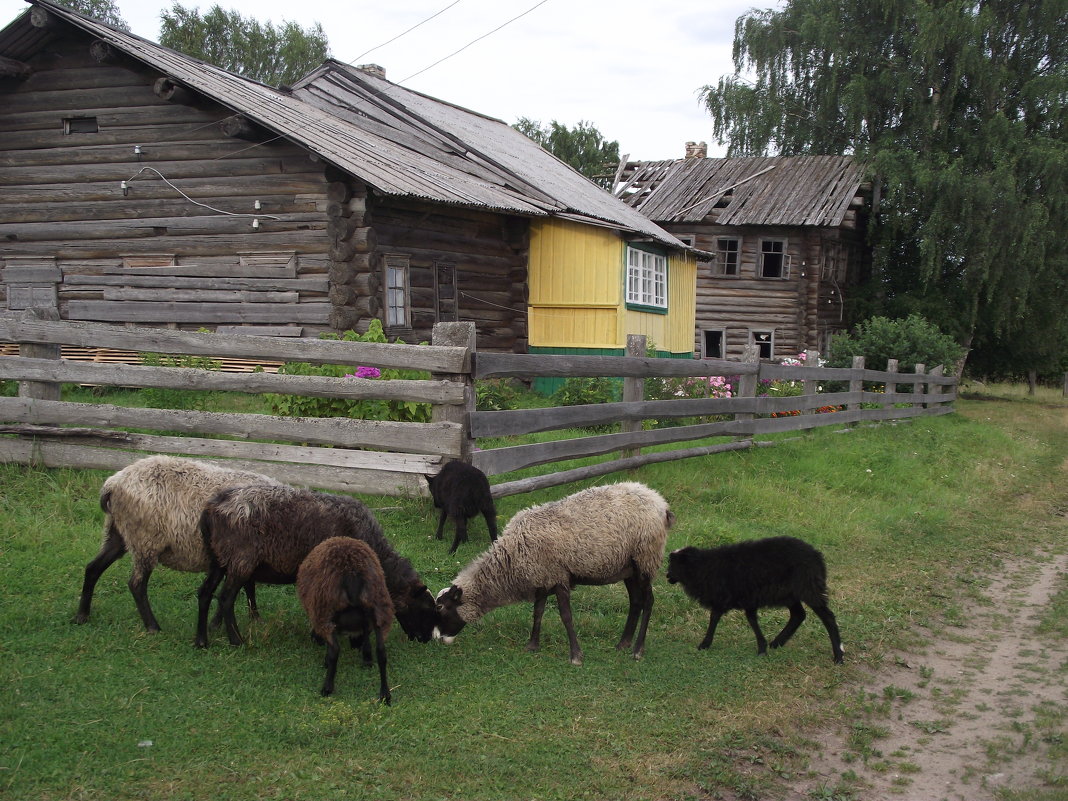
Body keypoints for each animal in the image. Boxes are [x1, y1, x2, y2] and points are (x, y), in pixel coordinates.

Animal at [72, 454, 277, 632]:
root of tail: (113, 483)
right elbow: (238, 588)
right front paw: (219, 623)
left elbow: (248, 585)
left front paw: (254, 617)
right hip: (145, 539)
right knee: (136, 584)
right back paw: (152, 626)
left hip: (118, 533)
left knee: (93, 568)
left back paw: (82, 615)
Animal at [196, 487, 437, 649]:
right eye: (423, 608)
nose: (424, 640)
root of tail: (213, 506)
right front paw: (320, 637)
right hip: (240, 560)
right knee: (225, 599)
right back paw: (235, 640)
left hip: (218, 558)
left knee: (205, 592)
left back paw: (201, 641)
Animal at [299, 540, 395, 700]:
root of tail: (352, 575)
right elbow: (367, 636)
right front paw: (367, 658)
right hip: (380, 609)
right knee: (381, 652)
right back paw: (385, 694)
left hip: (324, 611)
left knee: (335, 650)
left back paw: (327, 687)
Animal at [435, 482, 674, 666]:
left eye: (444, 608)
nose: (439, 639)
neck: (512, 559)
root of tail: (660, 503)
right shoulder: (542, 577)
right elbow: (538, 612)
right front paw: (532, 645)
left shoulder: (558, 577)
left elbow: (566, 616)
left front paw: (576, 656)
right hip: (629, 567)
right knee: (636, 601)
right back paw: (623, 643)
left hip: (645, 558)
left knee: (648, 601)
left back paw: (638, 650)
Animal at [666, 540, 841, 666]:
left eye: (672, 564)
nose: (667, 576)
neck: (703, 568)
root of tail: (817, 557)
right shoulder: (748, 599)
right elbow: (752, 620)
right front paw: (762, 647)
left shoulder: (722, 598)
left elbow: (714, 618)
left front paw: (704, 644)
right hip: (790, 594)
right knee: (798, 615)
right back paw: (777, 642)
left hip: (809, 588)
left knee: (828, 618)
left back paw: (839, 656)